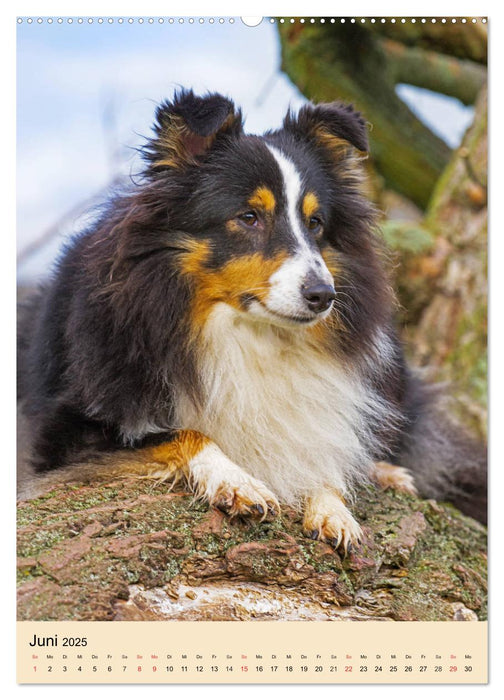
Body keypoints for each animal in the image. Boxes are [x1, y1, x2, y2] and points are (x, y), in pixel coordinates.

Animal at [17, 89, 486, 552]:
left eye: (316, 223)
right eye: (248, 217)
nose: (324, 296)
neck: (246, 333)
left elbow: (320, 448)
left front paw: (332, 508)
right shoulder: (68, 428)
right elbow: (182, 433)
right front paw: (238, 482)